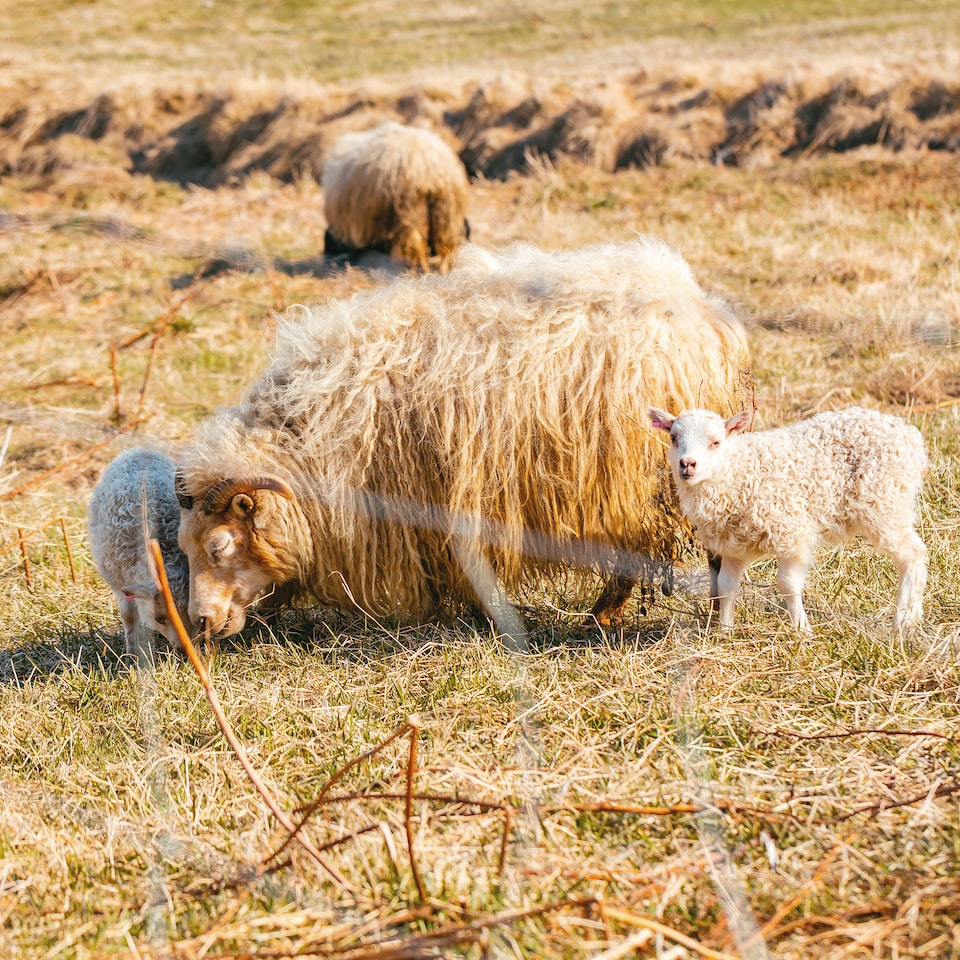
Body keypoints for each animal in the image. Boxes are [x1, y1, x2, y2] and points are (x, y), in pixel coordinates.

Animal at [88, 448, 192, 664]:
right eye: (159, 618)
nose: (184, 652)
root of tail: (140, 450)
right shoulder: (120, 583)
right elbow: (128, 617)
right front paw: (130, 656)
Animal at [174, 239, 753, 637]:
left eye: (219, 545)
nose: (198, 624)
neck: (311, 438)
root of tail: (704, 309)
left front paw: (486, 617)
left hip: (644, 473)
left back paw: (616, 617)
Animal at [322, 121, 470, 272]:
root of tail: (428, 168)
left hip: (409, 210)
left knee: (416, 244)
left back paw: (417, 270)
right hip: (446, 211)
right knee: (445, 245)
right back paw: (442, 269)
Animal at [648, 405, 928, 633]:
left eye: (716, 442)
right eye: (673, 438)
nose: (687, 464)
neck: (736, 471)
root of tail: (907, 433)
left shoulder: (791, 533)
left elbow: (787, 584)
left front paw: (802, 630)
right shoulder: (733, 544)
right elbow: (726, 586)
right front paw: (724, 632)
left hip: (884, 504)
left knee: (913, 555)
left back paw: (902, 621)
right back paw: (913, 618)